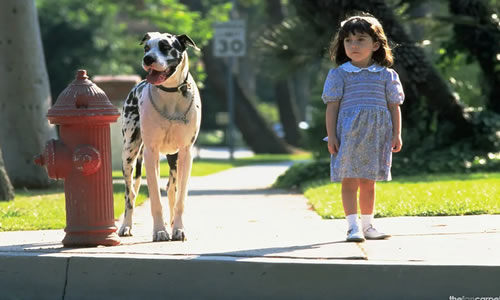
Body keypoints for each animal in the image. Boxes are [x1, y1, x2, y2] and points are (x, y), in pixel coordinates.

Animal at [119, 32, 201, 241]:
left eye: (165, 47)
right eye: (146, 48)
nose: (148, 59)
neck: (171, 94)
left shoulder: (186, 153)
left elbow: (180, 198)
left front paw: (178, 228)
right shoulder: (150, 153)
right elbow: (155, 198)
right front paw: (160, 231)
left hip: (174, 159)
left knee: (172, 189)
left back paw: (172, 223)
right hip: (129, 155)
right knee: (130, 194)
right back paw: (126, 226)